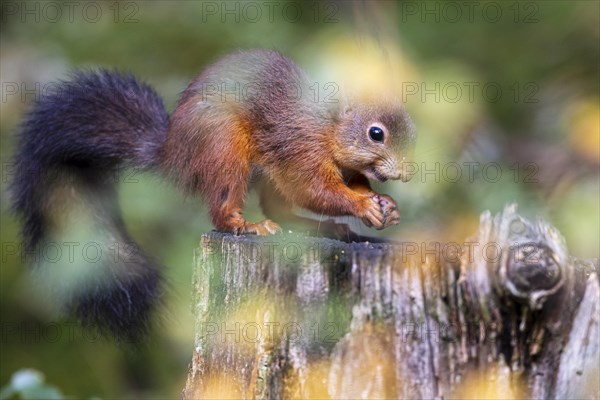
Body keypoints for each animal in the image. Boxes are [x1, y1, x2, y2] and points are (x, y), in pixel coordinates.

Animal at [9, 48, 414, 340]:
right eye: (375, 133)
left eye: (410, 128)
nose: (407, 173)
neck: (328, 128)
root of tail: (173, 151)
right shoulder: (299, 149)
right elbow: (313, 189)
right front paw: (363, 205)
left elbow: (349, 184)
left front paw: (387, 206)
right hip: (224, 147)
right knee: (227, 206)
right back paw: (246, 225)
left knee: (278, 208)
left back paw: (326, 228)